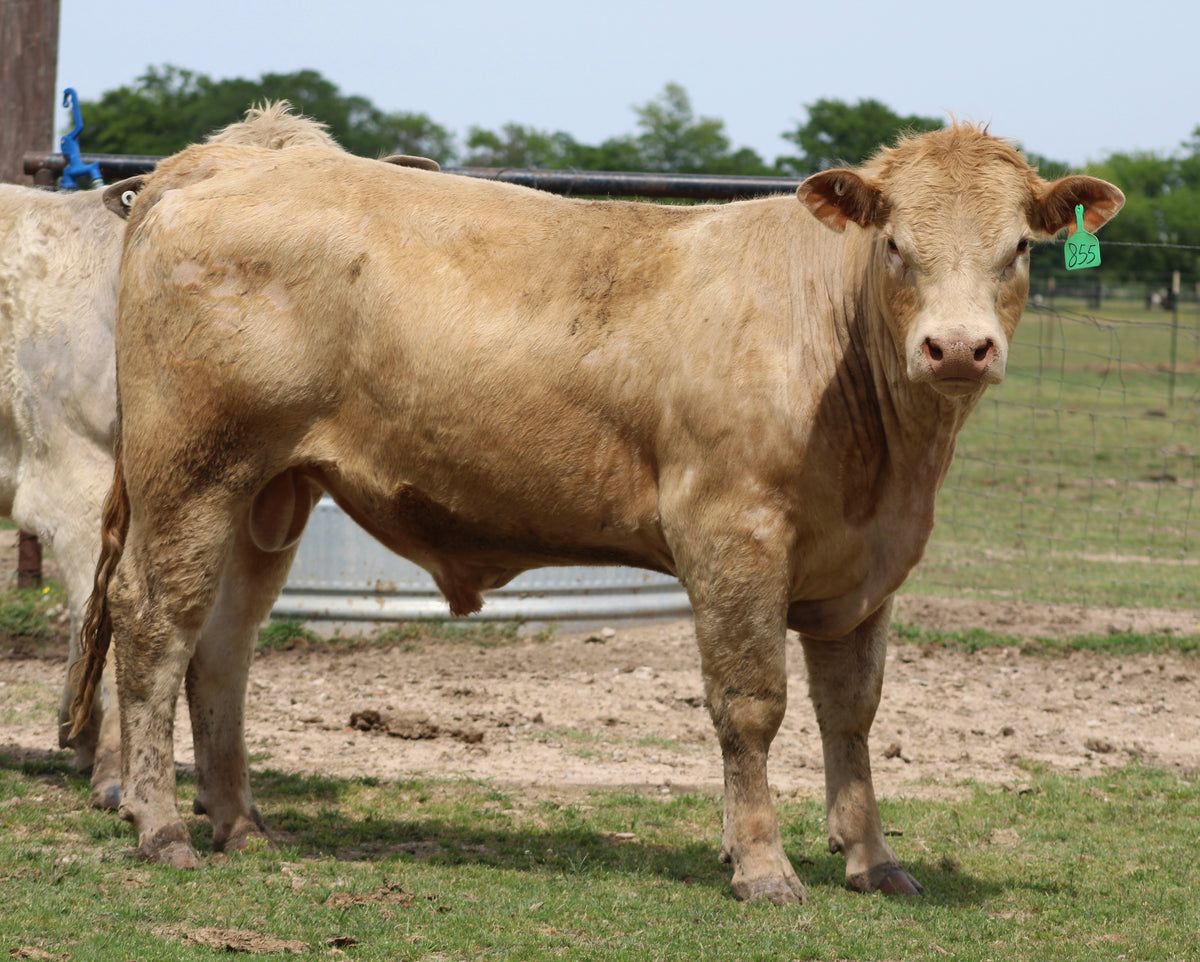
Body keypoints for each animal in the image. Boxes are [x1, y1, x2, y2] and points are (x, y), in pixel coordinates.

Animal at [71, 123, 1122, 903]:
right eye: (896, 244)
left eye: (1018, 249)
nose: (958, 348)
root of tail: (230, 157)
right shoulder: (730, 535)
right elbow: (753, 705)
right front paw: (763, 866)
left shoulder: (862, 569)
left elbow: (852, 713)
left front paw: (872, 860)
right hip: (191, 470)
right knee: (156, 623)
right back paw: (160, 824)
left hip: (270, 491)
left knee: (224, 646)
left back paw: (241, 824)